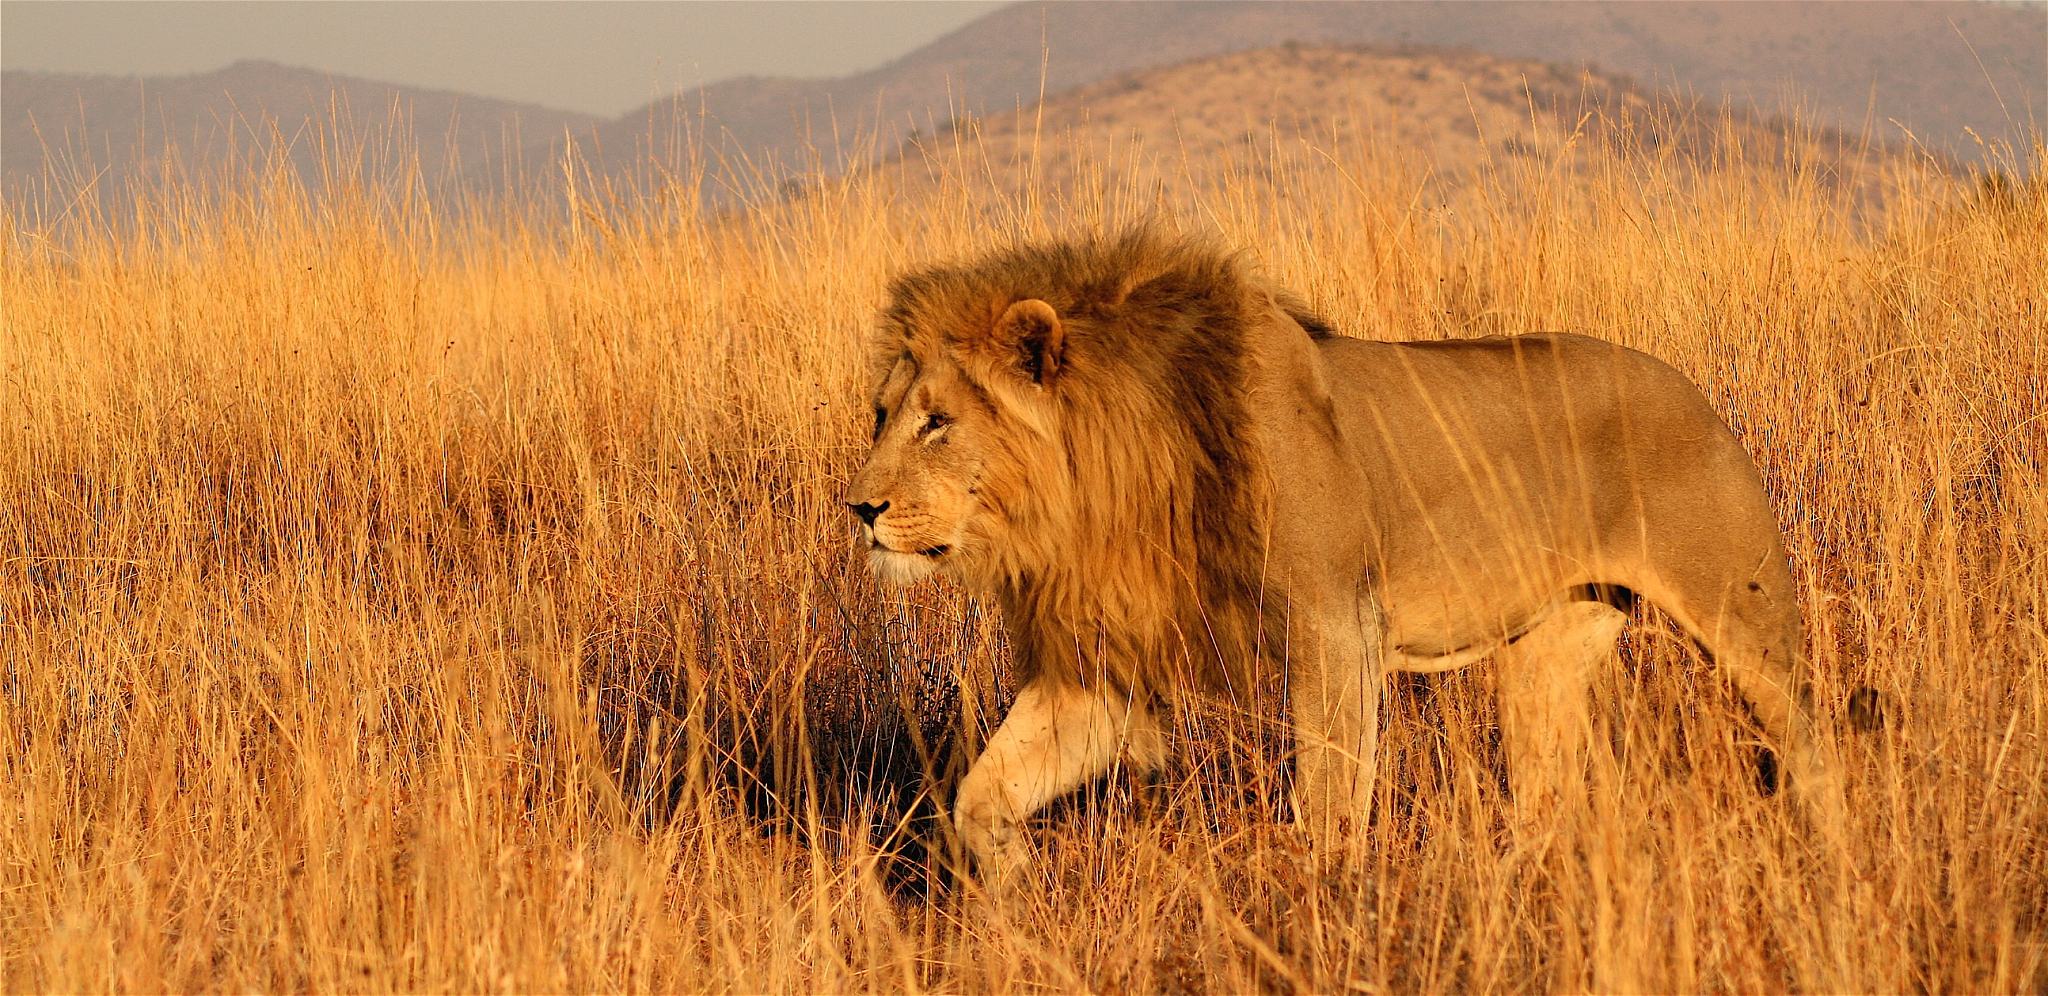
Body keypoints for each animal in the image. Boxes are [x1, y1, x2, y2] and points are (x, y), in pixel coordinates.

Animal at [844, 227, 1843, 892]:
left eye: (938, 423)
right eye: (883, 415)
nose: (860, 507)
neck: (1111, 480)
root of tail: (1692, 388)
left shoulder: (1335, 625)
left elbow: (1327, 798)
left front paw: (1325, 902)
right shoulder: (1104, 665)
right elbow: (983, 793)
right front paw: (1015, 889)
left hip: (1744, 616)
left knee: (1812, 746)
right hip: (1548, 655)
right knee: (1546, 789)